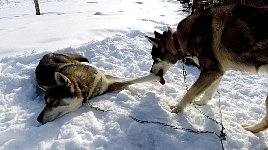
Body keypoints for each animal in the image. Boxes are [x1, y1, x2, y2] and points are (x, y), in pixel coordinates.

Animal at [147, 3, 268, 132]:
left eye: (156, 60)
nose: (151, 71)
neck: (179, 41)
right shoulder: (218, 72)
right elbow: (208, 93)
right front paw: (201, 103)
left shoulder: (210, 71)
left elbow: (190, 92)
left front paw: (177, 109)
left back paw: (249, 129)